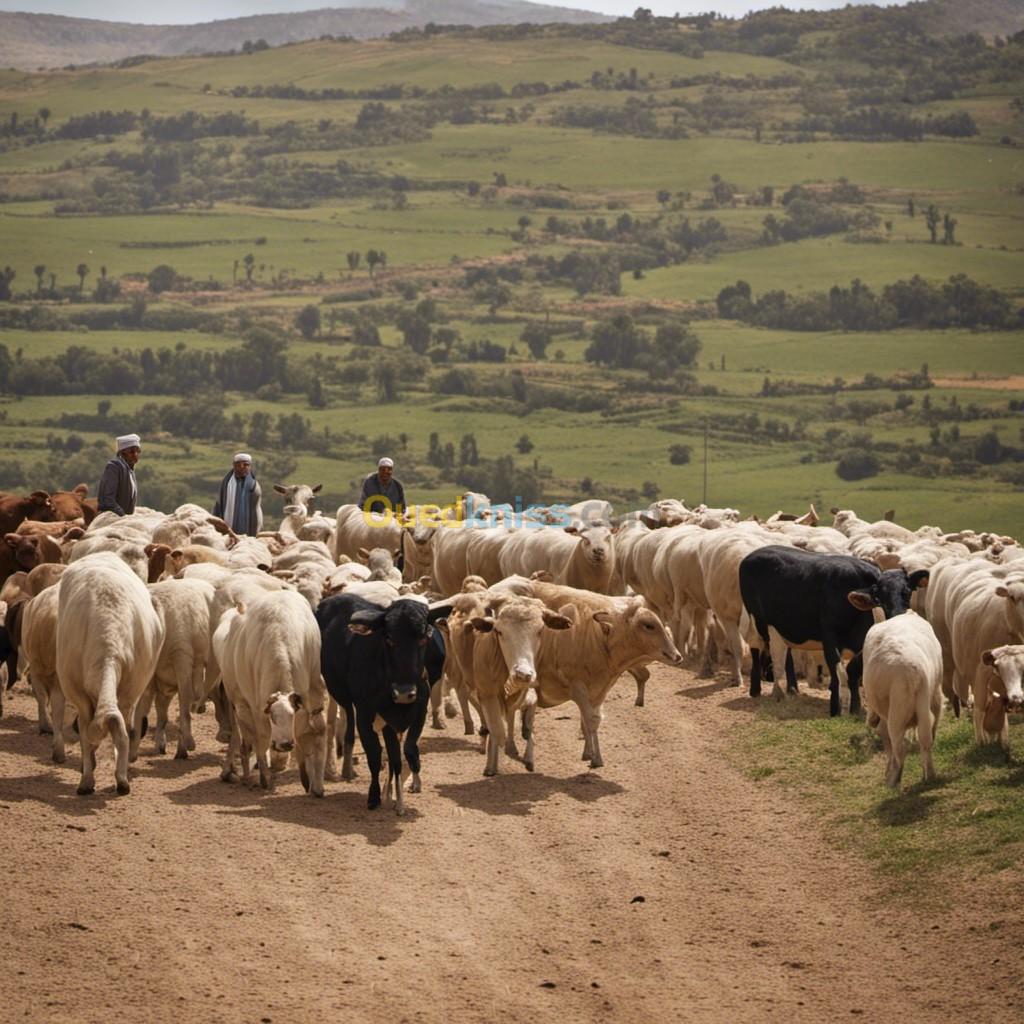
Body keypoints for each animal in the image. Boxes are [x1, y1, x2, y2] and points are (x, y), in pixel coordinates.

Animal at [317, 593, 450, 815]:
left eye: (423, 638)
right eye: (388, 638)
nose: (403, 693)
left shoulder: (418, 712)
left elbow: (407, 751)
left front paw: (402, 797)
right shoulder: (365, 715)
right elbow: (374, 754)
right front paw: (374, 796)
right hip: (342, 696)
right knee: (349, 727)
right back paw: (348, 768)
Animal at [737, 544, 929, 720]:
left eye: (907, 592)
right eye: (878, 598)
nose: (897, 618)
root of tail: (752, 555)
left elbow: (852, 671)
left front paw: (855, 708)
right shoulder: (829, 637)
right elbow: (838, 673)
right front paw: (836, 708)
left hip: (784, 625)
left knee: (787, 653)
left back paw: (792, 689)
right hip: (757, 621)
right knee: (756, 649)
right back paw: (757, 690)